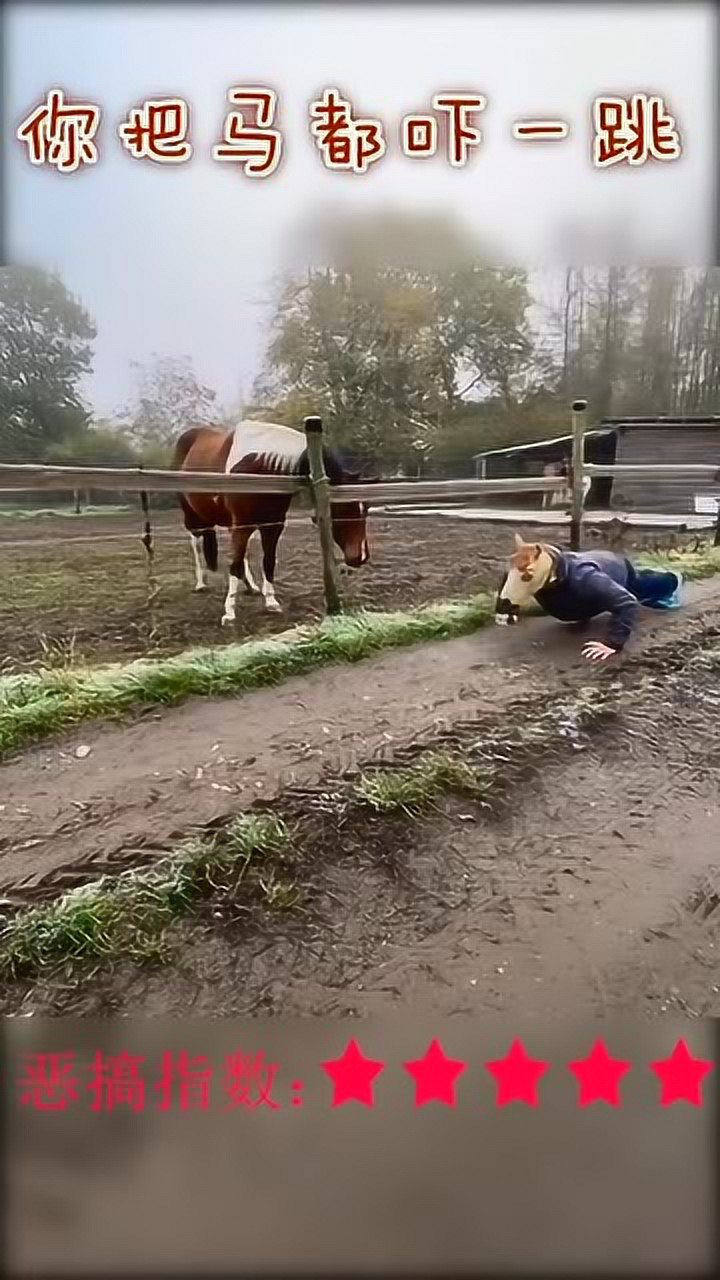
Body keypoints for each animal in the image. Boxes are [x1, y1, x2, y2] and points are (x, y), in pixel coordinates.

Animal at [172, 419, 368, 624]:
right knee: (197, 545)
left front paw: (271, 602)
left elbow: (267, 561)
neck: (260, 466)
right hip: (194, 518)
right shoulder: (242, 525)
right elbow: (235, 565)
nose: (361, 557)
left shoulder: (272, 526)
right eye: (347, 508)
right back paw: (201, 583)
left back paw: (251, 587)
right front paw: (229, 612)